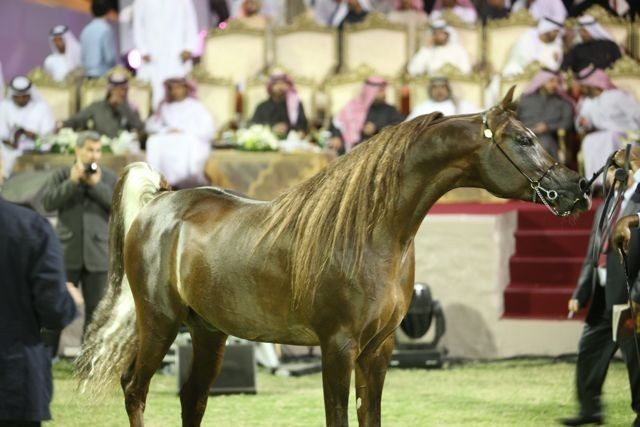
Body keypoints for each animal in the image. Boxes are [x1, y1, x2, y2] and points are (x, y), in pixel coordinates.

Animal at [76, 87, 591, 427]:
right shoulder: (337, 347)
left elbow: (369, 417)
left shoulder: (378, 350)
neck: (372, 233)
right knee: (134, 388)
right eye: (523, 139)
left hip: (207, 332)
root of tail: (161, 200)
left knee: (192, 399)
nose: (577, 189)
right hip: (159, 323)